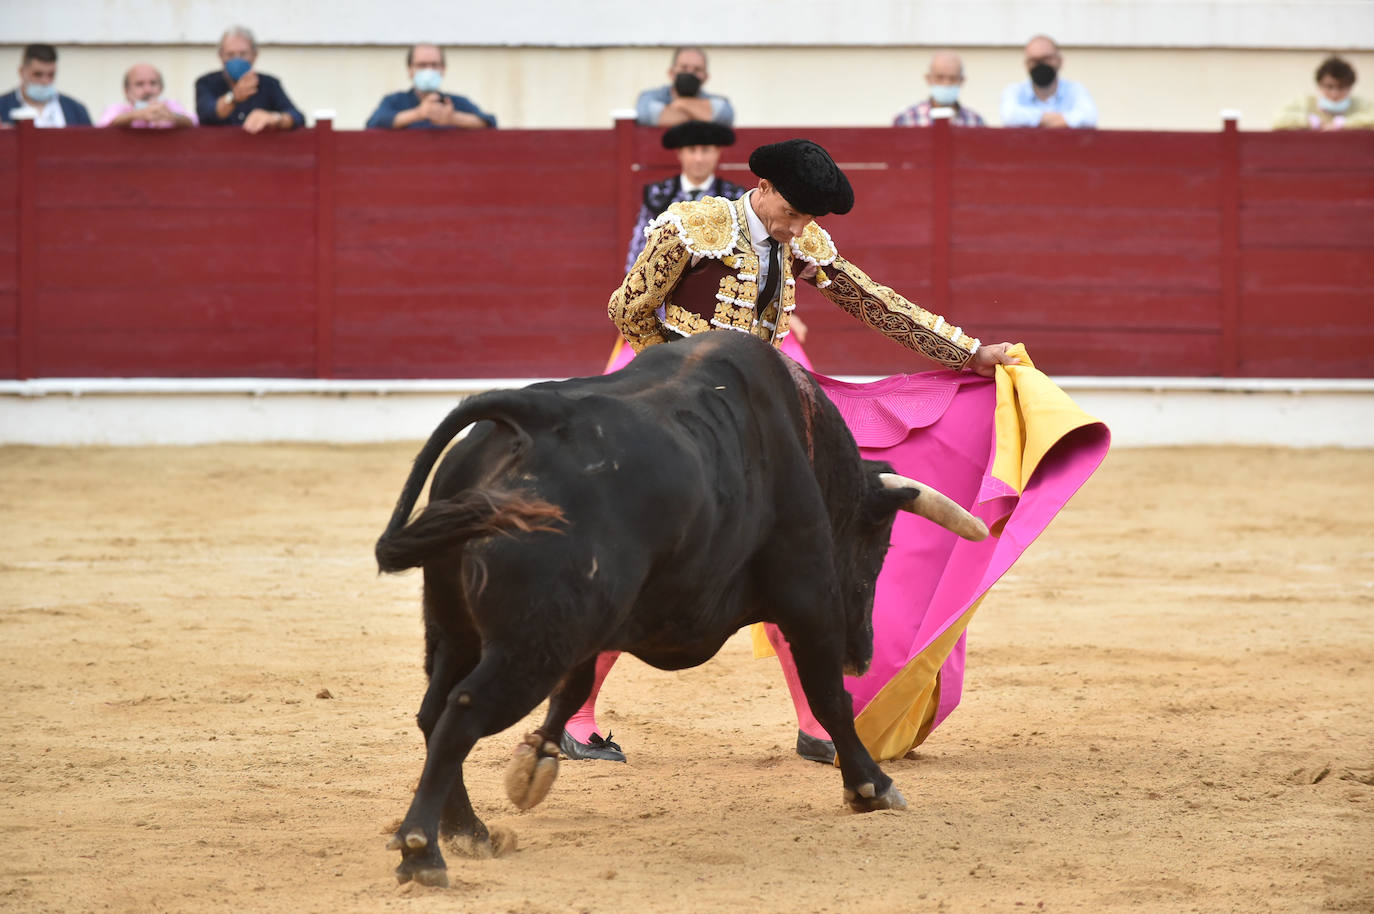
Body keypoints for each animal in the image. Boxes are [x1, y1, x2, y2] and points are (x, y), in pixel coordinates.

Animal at [370, 331, 983, 885]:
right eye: (878, 543)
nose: (864, 654)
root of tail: (532, 420)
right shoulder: (809, 595)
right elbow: (830, 697)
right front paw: (871, 786)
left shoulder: (604, 622)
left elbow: (574, 688)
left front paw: (537, 760)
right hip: (531, 642)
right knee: (463, 711)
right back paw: (423, 850)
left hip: (458, 628)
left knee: (434, 710)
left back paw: (469, 831)